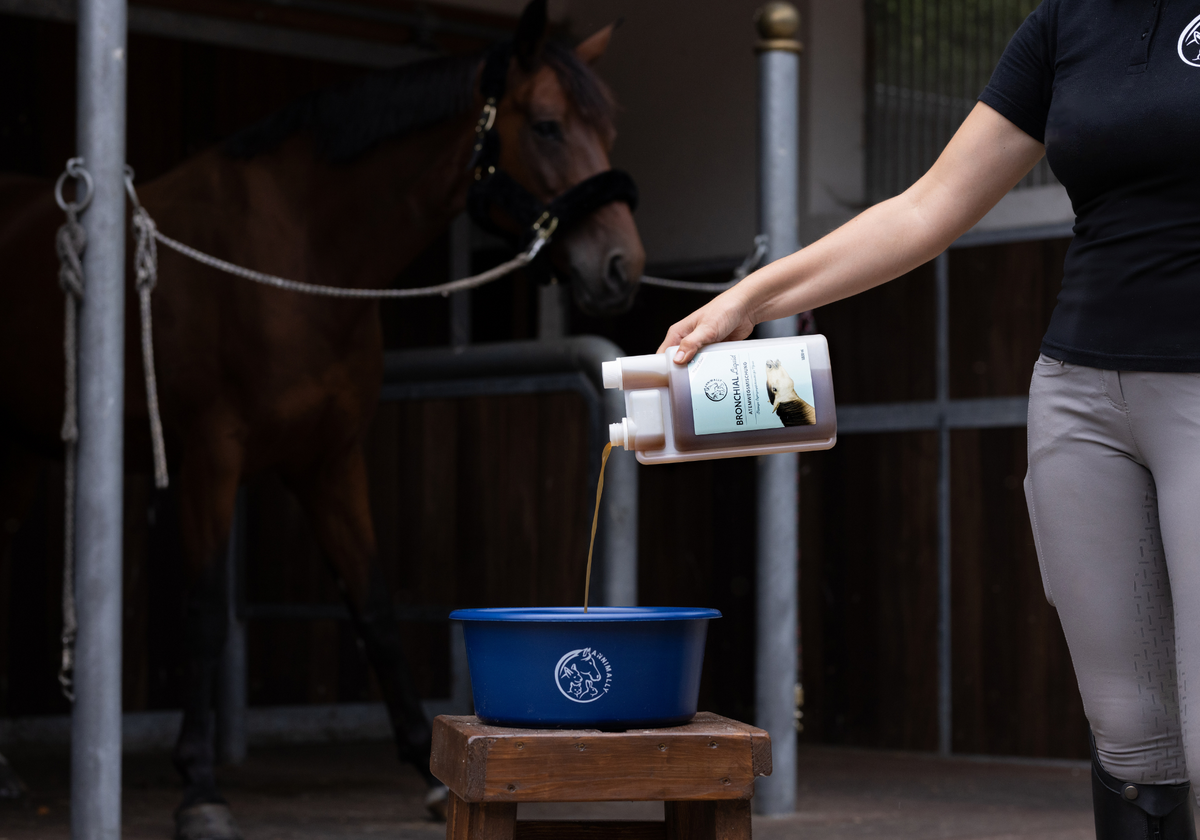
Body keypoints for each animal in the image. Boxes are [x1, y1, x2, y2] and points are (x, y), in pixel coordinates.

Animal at [0, 0, 644, 834]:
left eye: (609, 128)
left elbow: (372, 605)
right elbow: (205, 616)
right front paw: (199, 786)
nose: (623, 268)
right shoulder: (210, 457)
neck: (298, 255)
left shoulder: (331, 461)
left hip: (19, 452)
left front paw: (425, 764)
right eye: (545, 126)